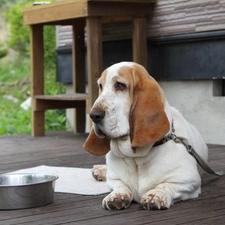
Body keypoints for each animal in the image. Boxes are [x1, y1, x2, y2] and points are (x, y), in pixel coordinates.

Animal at [83, 61, 208, 209]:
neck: (135, 157)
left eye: (120, 85)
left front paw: (155, 195)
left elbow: (166, 185)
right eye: (100, 86)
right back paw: (100, 170)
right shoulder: (114, 179)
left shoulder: (189, 181)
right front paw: (117, 195)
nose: (93, 115)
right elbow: (120, 184)